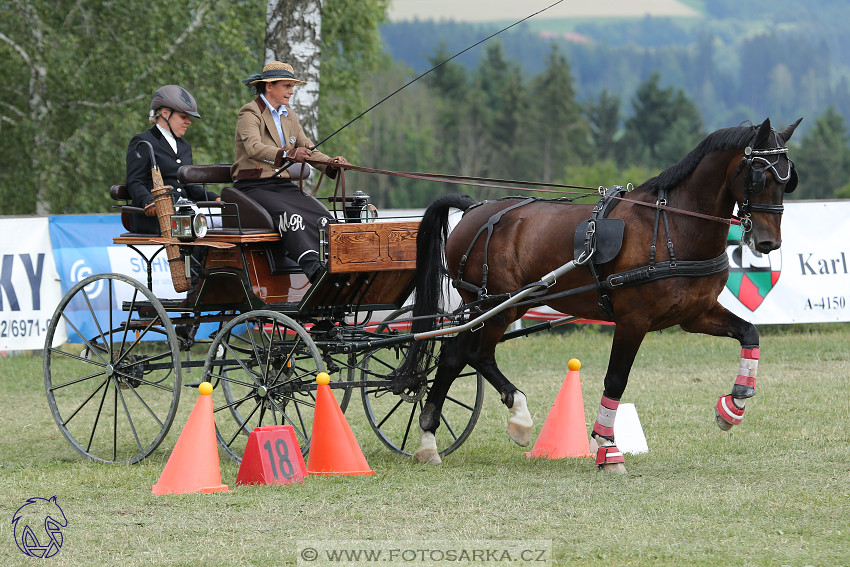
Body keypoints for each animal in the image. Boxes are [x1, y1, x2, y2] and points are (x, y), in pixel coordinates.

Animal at [394, 117, 800, 472]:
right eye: (758, 174)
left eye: (788, 178)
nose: (768, 242)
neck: (672, 226)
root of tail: (474, 209)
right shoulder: (633, 321)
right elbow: (615, 380)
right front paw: (607, 449)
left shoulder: (695, 315)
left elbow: (750, 333)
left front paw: (734, 405)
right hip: (495, 304)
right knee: (461, 354)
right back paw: (447, 436)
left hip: (504, 306)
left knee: (464, 355)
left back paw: (482, 427)